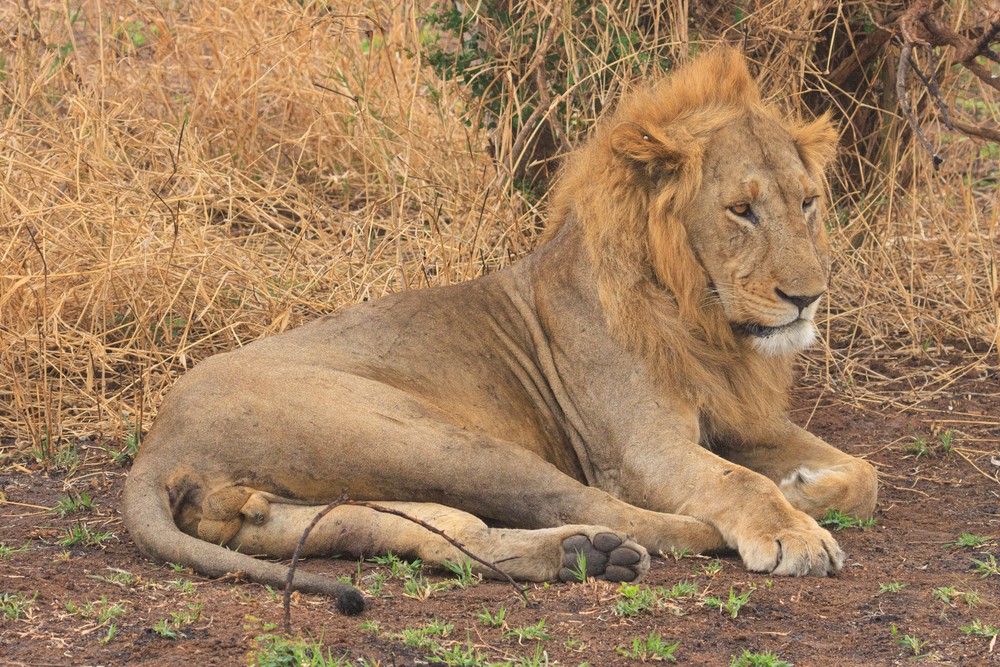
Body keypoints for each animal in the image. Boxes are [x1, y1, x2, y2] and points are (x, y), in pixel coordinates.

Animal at [123, 49, 878, 615]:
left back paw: (581, 554)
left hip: (307, 499)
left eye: (808, 203)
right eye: (740, 210)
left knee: (441, 529)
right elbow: (738, 482)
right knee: (606, 507)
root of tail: (157, 445)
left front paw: (808, 484)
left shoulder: (741, 420)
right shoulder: (640, 447)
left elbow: (865, 473)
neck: (705, 322)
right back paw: (627, 543)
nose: (807, 298)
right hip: (434, 438)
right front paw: (792, 525)